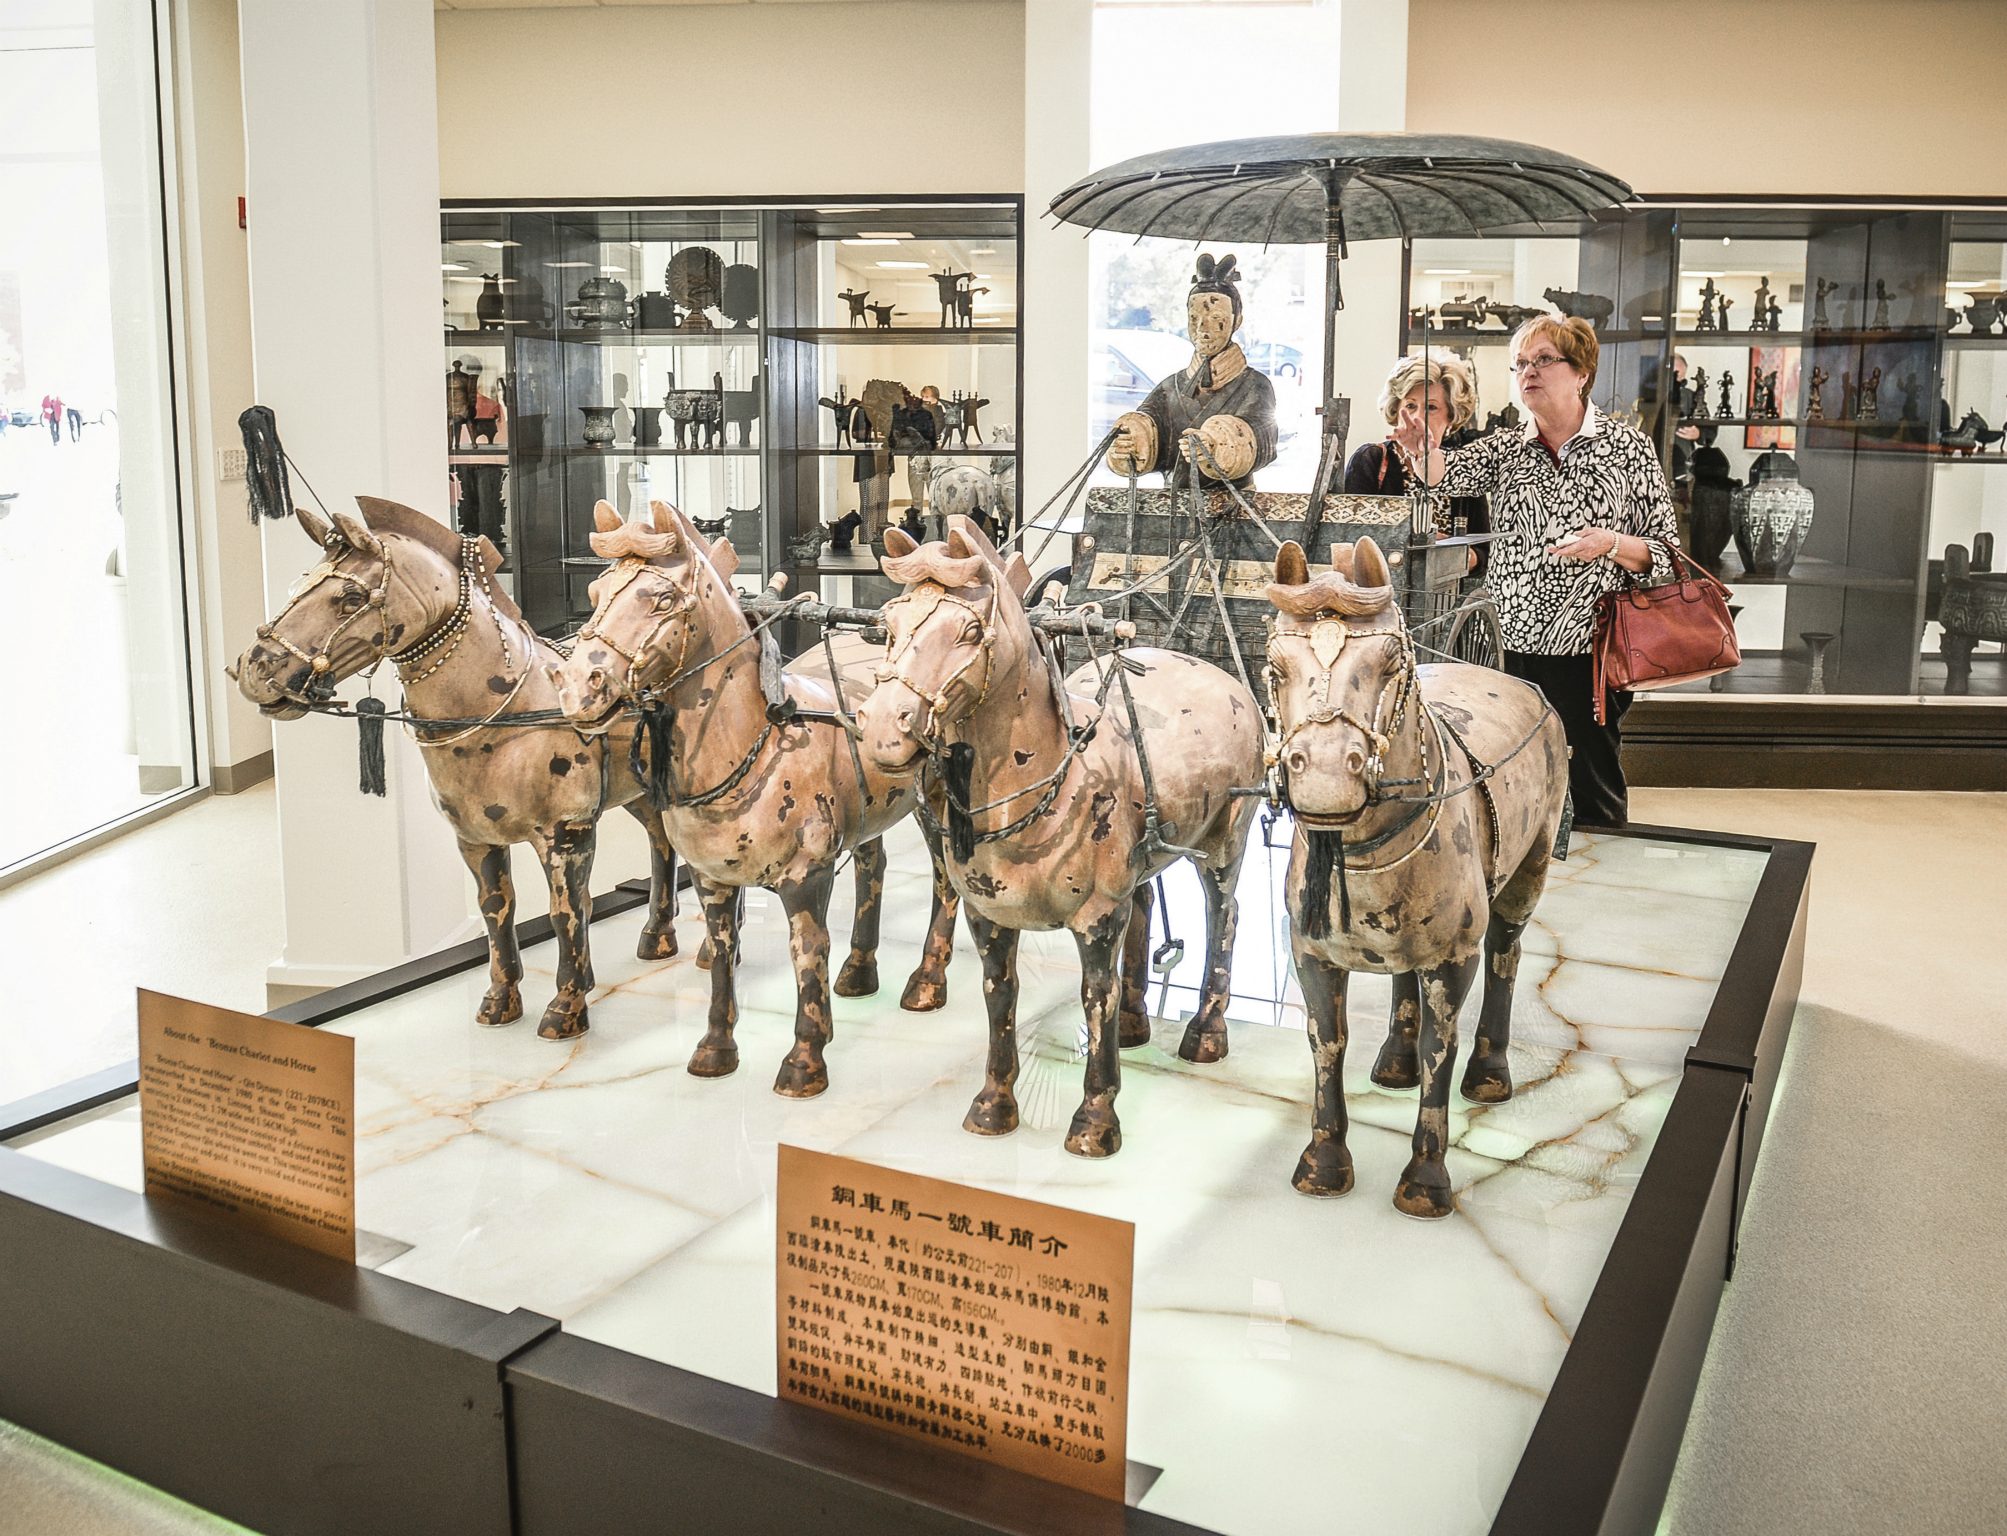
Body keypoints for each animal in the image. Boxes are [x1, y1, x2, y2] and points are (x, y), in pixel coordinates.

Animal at [234, 503, 682, 1044]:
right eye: (300, 584)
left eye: (350, 598)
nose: (255, 670)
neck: (510, 715)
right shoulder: (474, 840)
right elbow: (497, 910)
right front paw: (501, 999)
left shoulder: (567, 836)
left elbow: (567, 912)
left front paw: (567, 1005)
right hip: (641, 793)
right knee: (661, 844)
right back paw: (658, 935)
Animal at [549, 499, 955, 1092]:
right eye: (596, 593)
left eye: (662, 599)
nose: (579, 687)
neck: (757, 741)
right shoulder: (710, 878)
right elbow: (721, 957)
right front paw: (716, 1047)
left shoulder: (807, 878)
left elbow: (807, 952)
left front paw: (805, 1058)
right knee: (872, 864)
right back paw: (859, 970)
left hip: (939, 804)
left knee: (945, 881)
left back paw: (927, 980)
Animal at [854, 514, 1260, 1148]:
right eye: (889, 623)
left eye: (970, 630)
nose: (881, 730)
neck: (1048, 777)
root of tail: (1220, 673)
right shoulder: (989, 916)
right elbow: (1001, 995)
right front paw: (993, 1104)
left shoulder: (1097, 918)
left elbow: (1096, 994)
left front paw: (1095, 1118)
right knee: (1147, 906)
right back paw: (1137, 1023)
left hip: (1224, 843)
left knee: (1226, 914)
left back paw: (1206, 1033)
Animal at [1260, 534, 1573, 1212]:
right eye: (1275, 665)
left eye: (1390, 661)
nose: (1326, 776)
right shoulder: (1311, 952)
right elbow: (1327, 1040)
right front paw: (1324, 1161)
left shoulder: (1453, 957)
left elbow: (1441, 1047)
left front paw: (1426, 1177)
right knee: (1403, 972)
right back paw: (1395, 1060)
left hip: (1530, 868)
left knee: (1508, 952)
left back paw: (1490, 1071)